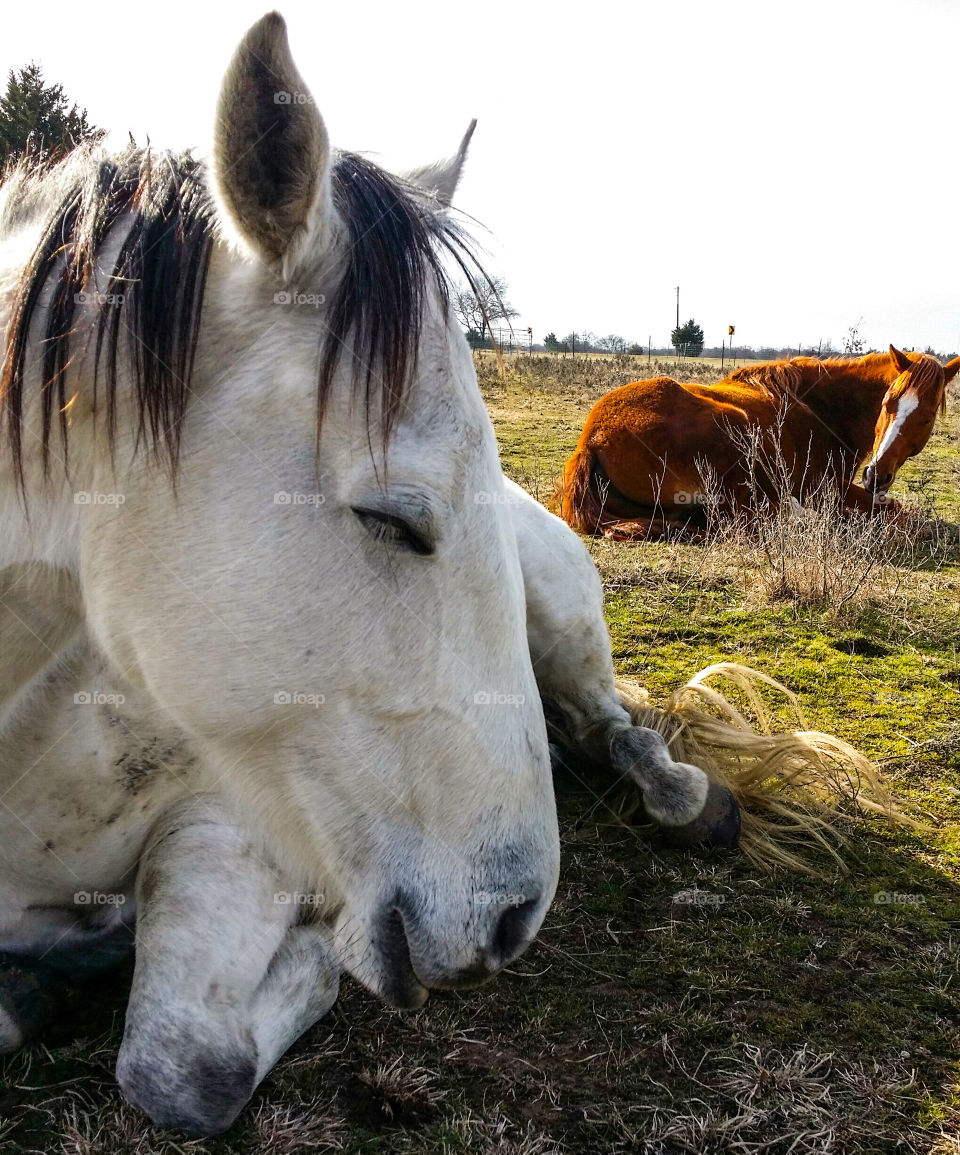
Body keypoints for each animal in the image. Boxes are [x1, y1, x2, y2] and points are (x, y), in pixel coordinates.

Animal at [0, 11, 743, 1127]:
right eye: (392, 517)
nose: (516, 915)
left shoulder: (233, 823)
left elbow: (182, 1067)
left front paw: (300, 955)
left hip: (566, 628)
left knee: (617, 727)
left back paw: (687, 795)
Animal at [559, 344, 956, 538]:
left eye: (926, 416)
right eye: (888, 404)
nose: (876, 475)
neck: (820, 407)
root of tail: (591, 438)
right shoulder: (823, 488)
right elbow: (897, 512)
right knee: (743, 519)